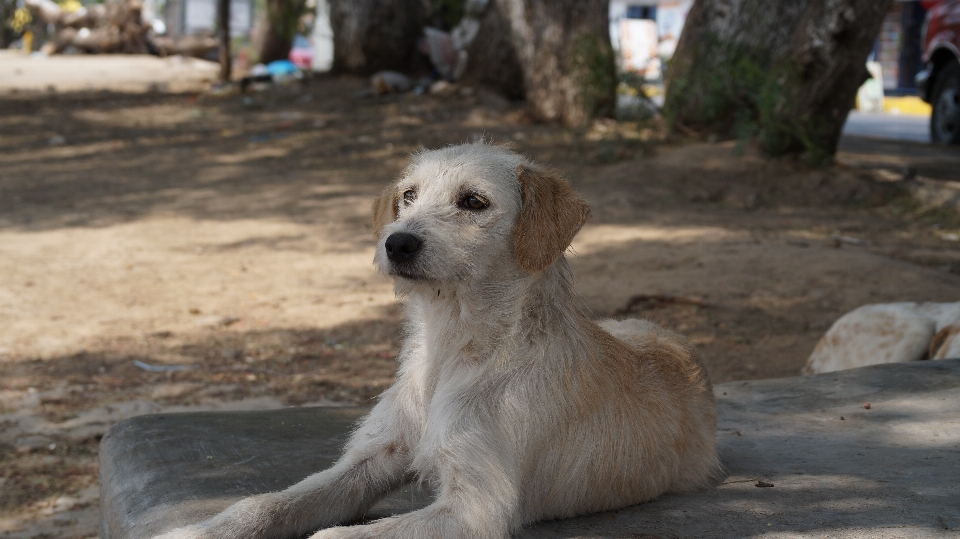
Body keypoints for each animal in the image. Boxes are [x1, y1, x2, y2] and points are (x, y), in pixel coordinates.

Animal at [154, 143, 716, 539]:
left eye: (474, 202)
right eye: (408, 195)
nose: (396, 242)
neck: (453, 347)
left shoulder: (474, 508)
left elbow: (340, 536)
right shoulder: (369, 461)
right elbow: (267, 502)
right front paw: (197, 530)